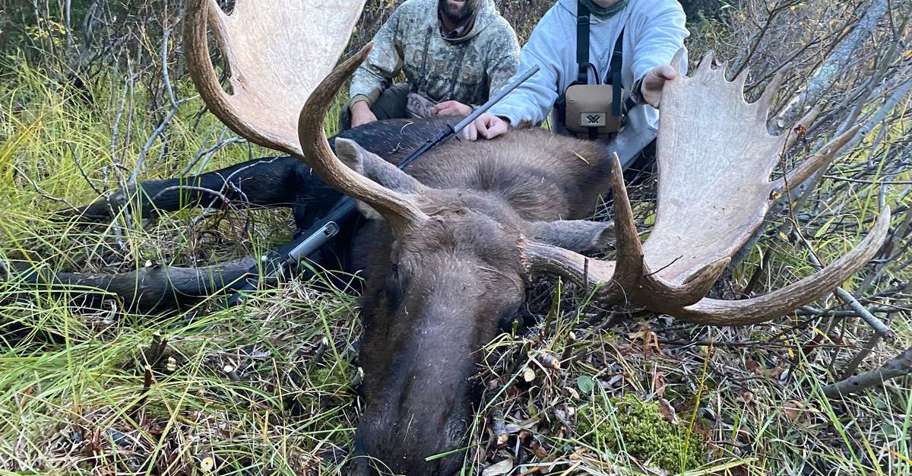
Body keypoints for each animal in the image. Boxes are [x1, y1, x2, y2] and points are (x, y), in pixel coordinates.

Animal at [2, 0, 891, 474]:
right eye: (389, 278)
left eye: (512, 318)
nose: (400, 455)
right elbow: (151, 271)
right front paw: (32, 287)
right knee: (142, 195)